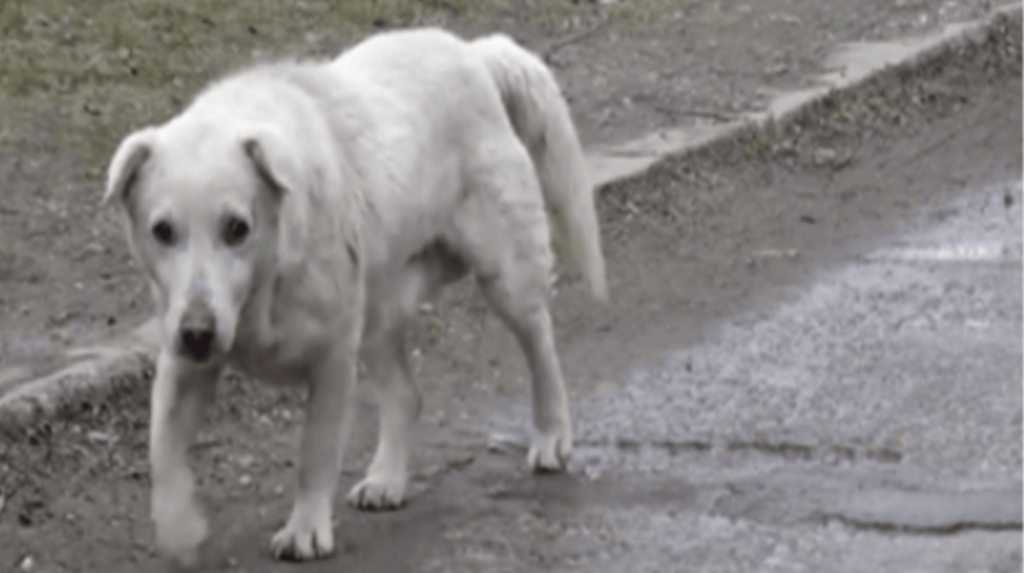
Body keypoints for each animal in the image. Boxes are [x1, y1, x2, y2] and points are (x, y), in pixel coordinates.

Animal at [102, 25, 602, 564]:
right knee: (406, 394)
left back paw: (551, 435)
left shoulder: (333, 359)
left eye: (237, 228)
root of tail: (475, 53)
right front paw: (180, 530)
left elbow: (314, 455)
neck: (264, 285)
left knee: (542, 349)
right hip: (379, 311)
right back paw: (387, 479)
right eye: (162, 231)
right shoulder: (182, 362)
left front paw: (305, 529)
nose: (198, 333)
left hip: (507, 278)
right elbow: (162, 453)